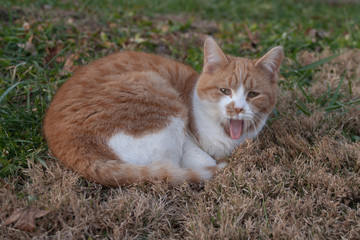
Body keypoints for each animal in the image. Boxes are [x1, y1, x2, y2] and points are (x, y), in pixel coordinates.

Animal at [43, 38, 284, 187]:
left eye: (253, 94)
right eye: (225, 91)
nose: (238, 108)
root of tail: (67, 143)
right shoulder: (186, 142)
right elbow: (204, 160)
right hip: (160, 101)